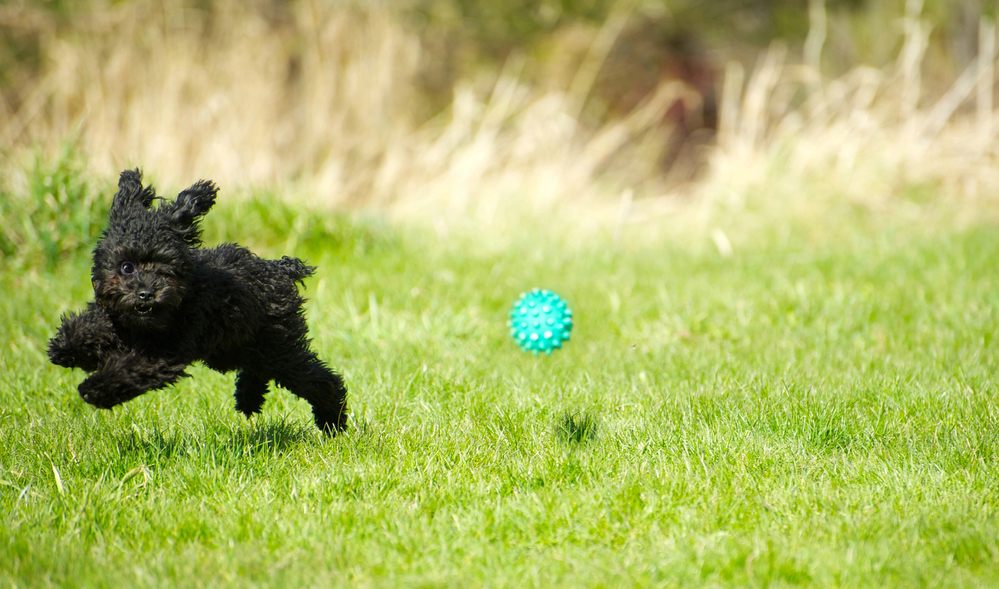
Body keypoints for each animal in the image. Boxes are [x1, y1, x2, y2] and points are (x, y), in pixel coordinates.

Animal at [48, 168, 350, 434]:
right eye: (126, 267)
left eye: (166, 268)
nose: (146, 293)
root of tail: (280, 268)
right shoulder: (117, 316)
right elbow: (91, 324)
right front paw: (66, 347)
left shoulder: (161, 352)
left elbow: (127, 369)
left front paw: (94, 389)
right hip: (238, 347)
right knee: (258, 370)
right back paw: (249, 399)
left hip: (277, 348)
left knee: (320, 380)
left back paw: (332, 423)